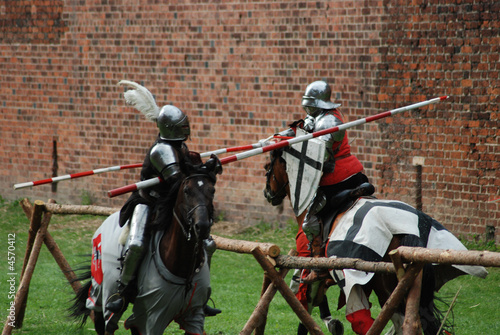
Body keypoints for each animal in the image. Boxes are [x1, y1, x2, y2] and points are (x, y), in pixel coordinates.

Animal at [70, 158, 221, 335]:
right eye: (186, 190)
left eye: (212, 190)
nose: (202, 226)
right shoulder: (149, 318)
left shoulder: (193, 314)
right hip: (103, 289)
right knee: (105, 320)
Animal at [266, 149, 488, 335]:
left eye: (268, 167)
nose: (268, 194)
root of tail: (405, 229)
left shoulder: (313, 263)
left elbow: (305, 298)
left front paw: (331, 322)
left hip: (383, 285)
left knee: (370, 321)